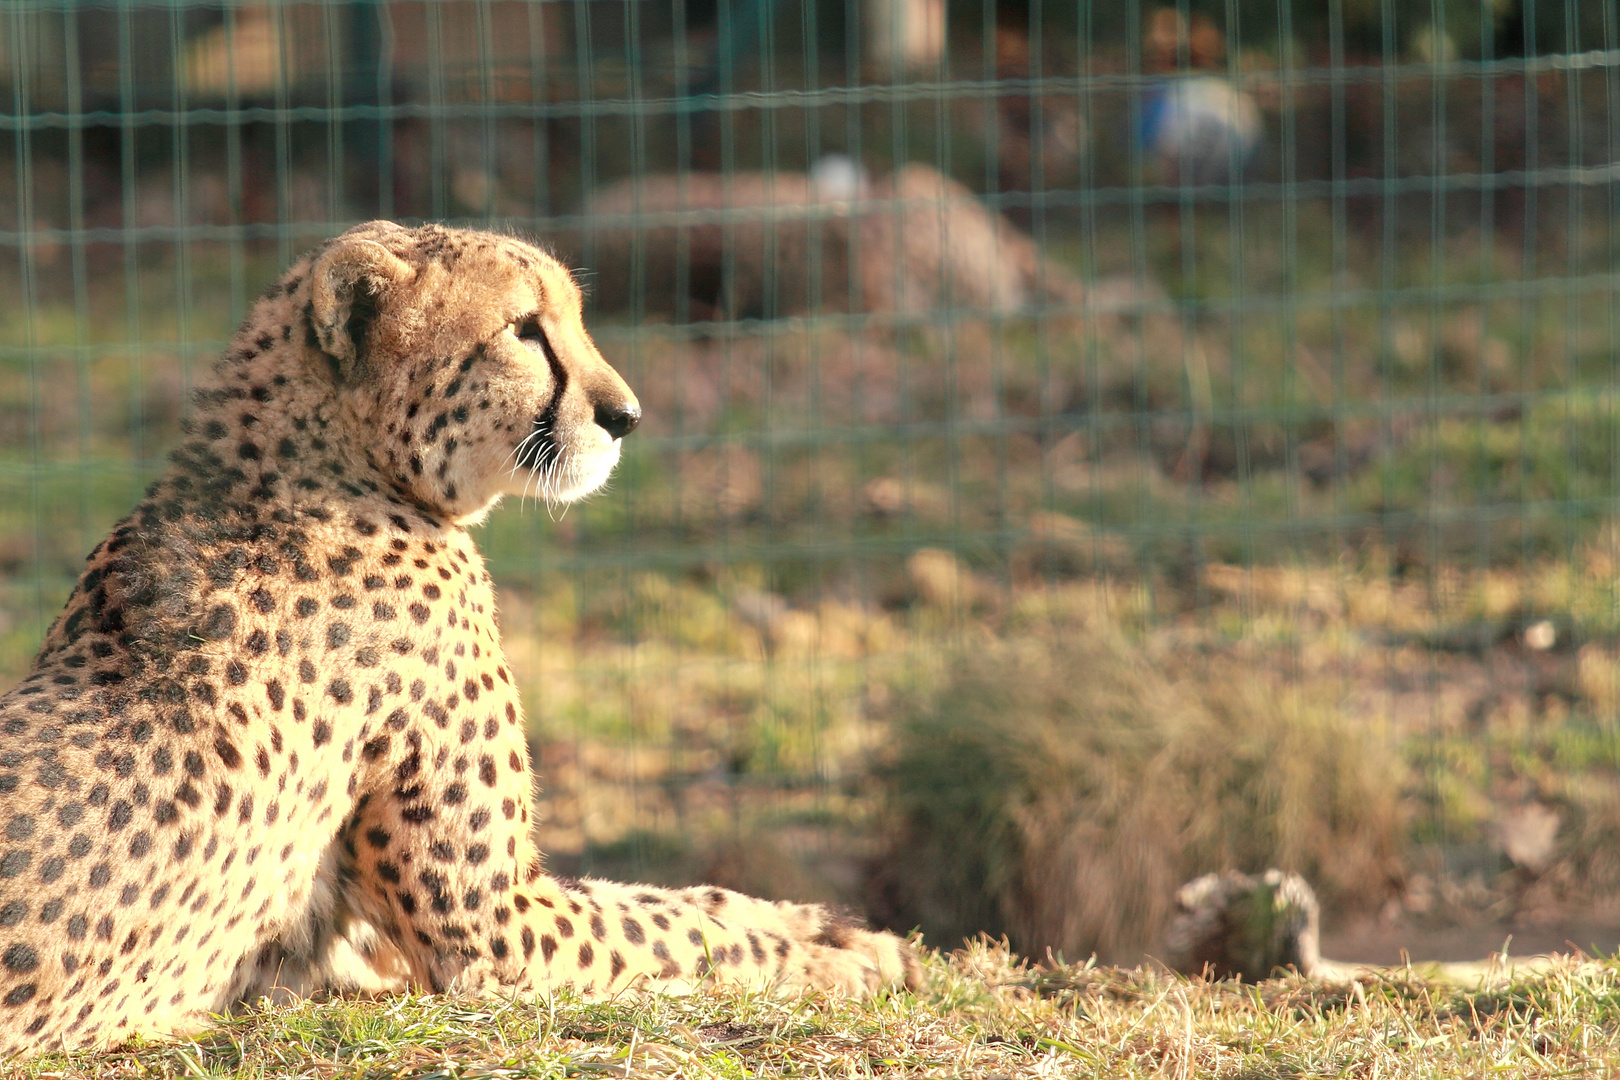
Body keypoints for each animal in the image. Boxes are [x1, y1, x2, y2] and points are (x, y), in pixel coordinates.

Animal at [0, 220, 913, 1055]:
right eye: (524, 329)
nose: (626, 416)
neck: (336, 469)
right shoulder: (497, 927)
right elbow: (680, 919)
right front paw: (838, 948)